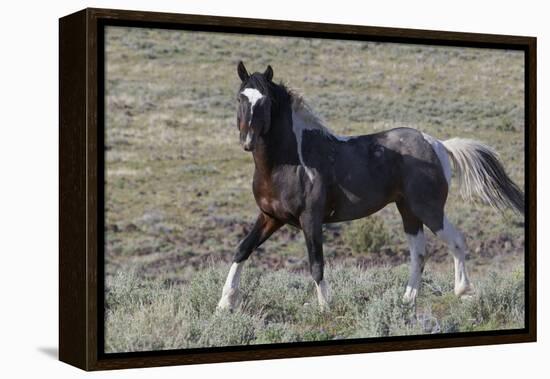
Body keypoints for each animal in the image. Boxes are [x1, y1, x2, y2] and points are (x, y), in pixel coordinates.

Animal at [217, 61, 528, 312]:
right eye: (239, 98)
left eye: (266, 101)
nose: (247, 141)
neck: (288, 163)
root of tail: (438, 144)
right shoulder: (271, 217)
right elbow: (242, 250)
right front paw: (224, 304)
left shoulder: (311, 219)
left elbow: (316, 263)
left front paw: (325, 307)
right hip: (408, 211)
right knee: (419, 253)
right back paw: (406, 301)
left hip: (428, 209)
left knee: (456, 241)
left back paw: (463, 292)